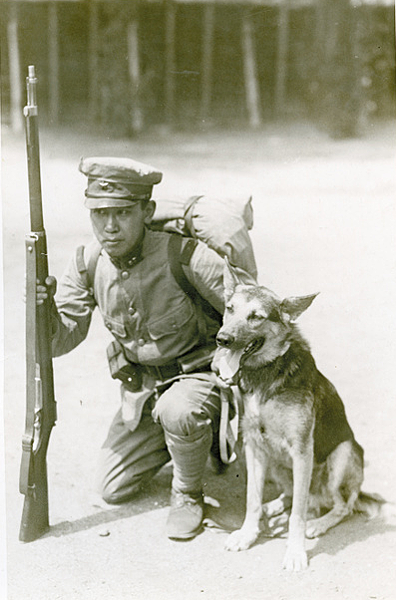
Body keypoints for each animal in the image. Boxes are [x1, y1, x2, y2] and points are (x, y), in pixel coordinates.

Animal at [213, 264, 384, 572]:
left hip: (343, 454)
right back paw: (273, 507)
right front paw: (247, 533)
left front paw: (295, 551)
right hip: (277, 463)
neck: (267, 373)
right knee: (294, 496)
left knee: (338, 506)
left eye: (256, 316)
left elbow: (298, 515)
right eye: (230, 309)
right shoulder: (254, 446)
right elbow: (252, 499)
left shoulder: (302, 450)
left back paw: (318, 523)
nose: (222, 339)